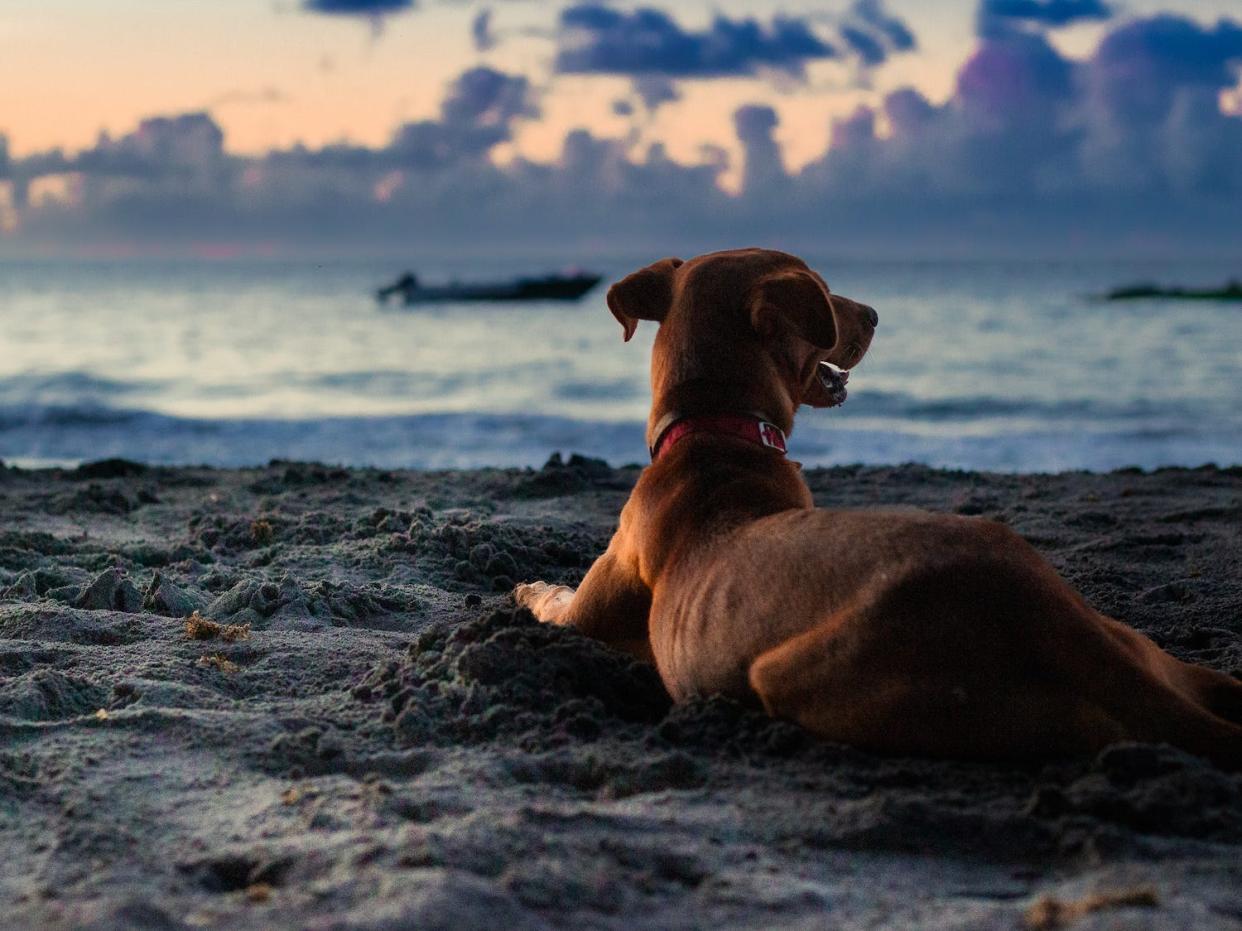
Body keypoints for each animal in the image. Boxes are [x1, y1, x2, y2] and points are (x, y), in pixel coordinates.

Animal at [514, 251, 1242, 769]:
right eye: (823, 287)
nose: (873, 313)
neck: (715, 428)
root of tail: (1052, 623)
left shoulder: (587, 617)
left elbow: (555, 601)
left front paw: (529, 585)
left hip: (791, 674)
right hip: (1135, 641)